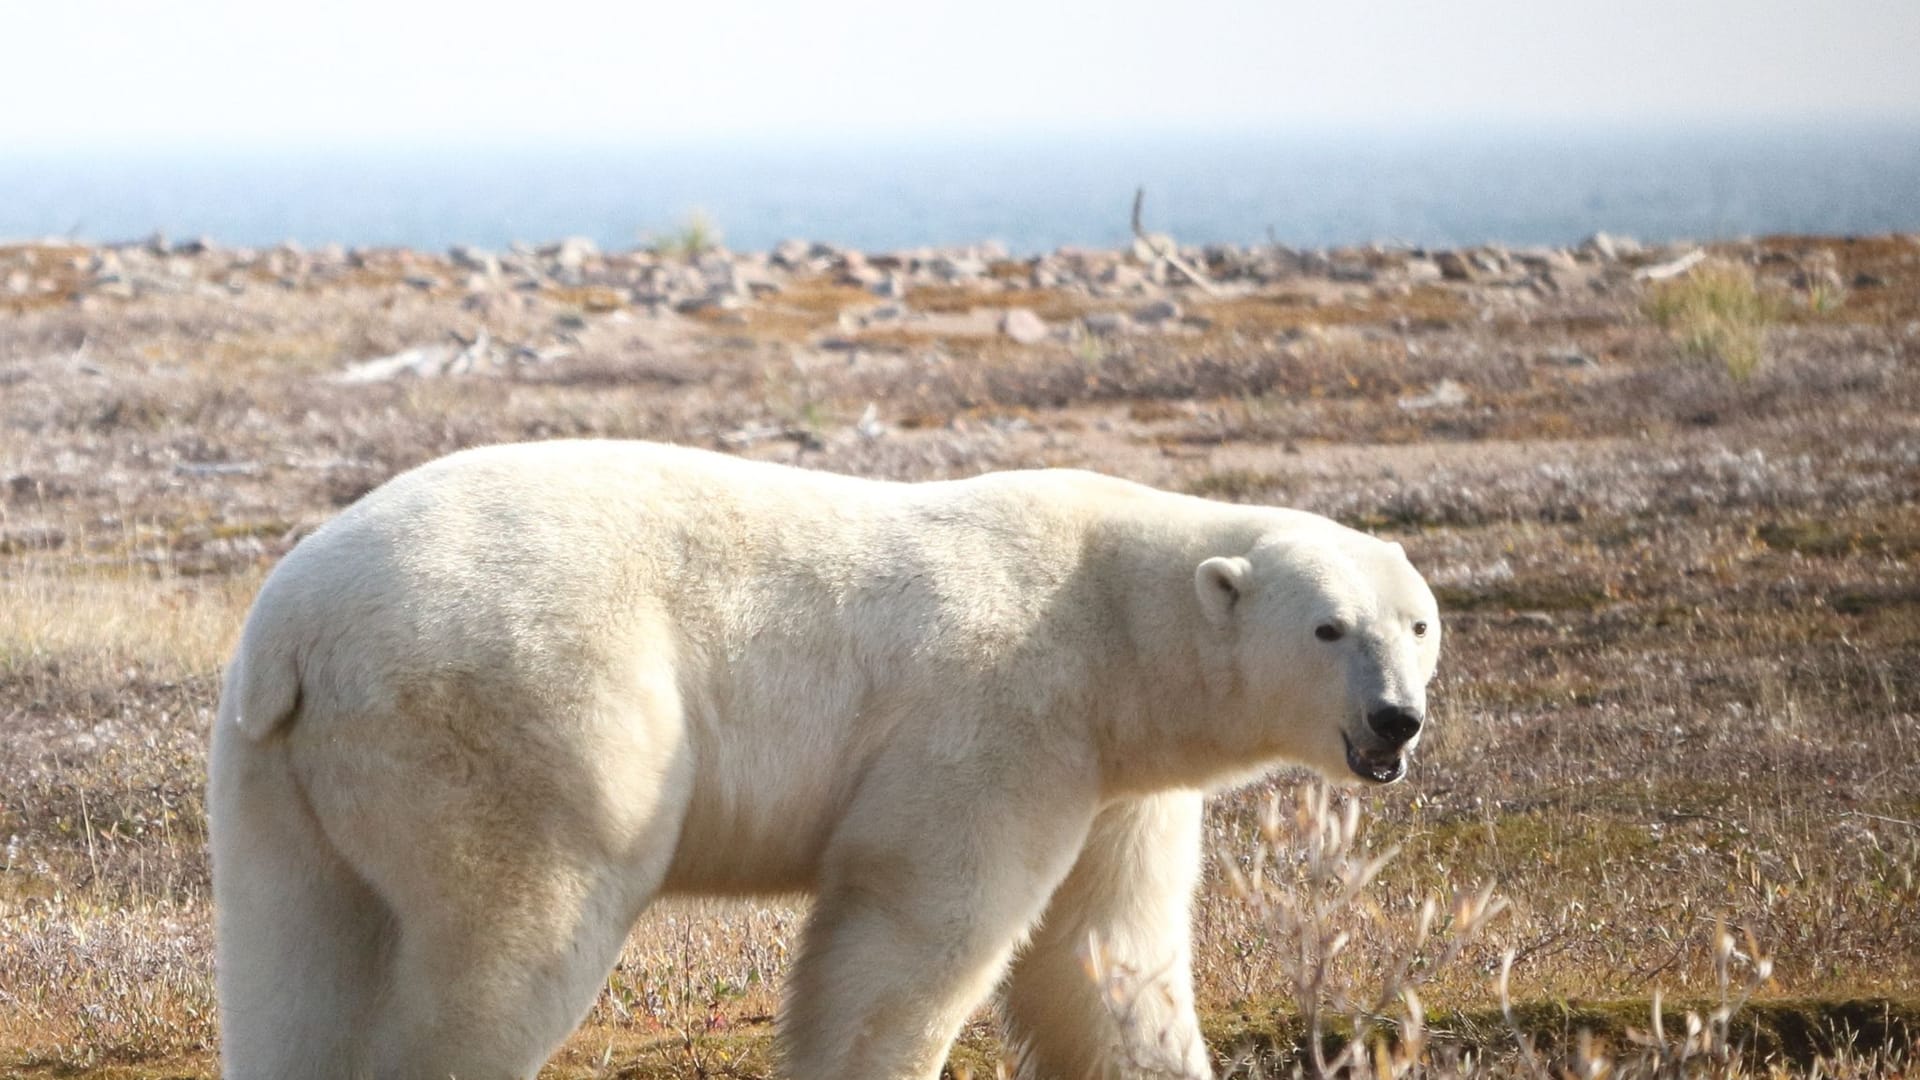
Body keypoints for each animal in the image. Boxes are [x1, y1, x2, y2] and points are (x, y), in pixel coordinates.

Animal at [210, 440, 1443, 1076]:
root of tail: (299, 632)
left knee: (298, 961)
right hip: (521, 714)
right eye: (1328, 627)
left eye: (1418, 623)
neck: (1109, 619)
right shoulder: (1002, 717)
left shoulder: (1118, 780)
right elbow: (920, 927)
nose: (1396, 721)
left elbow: (1106, 954)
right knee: (512, 936)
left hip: (280, 777)